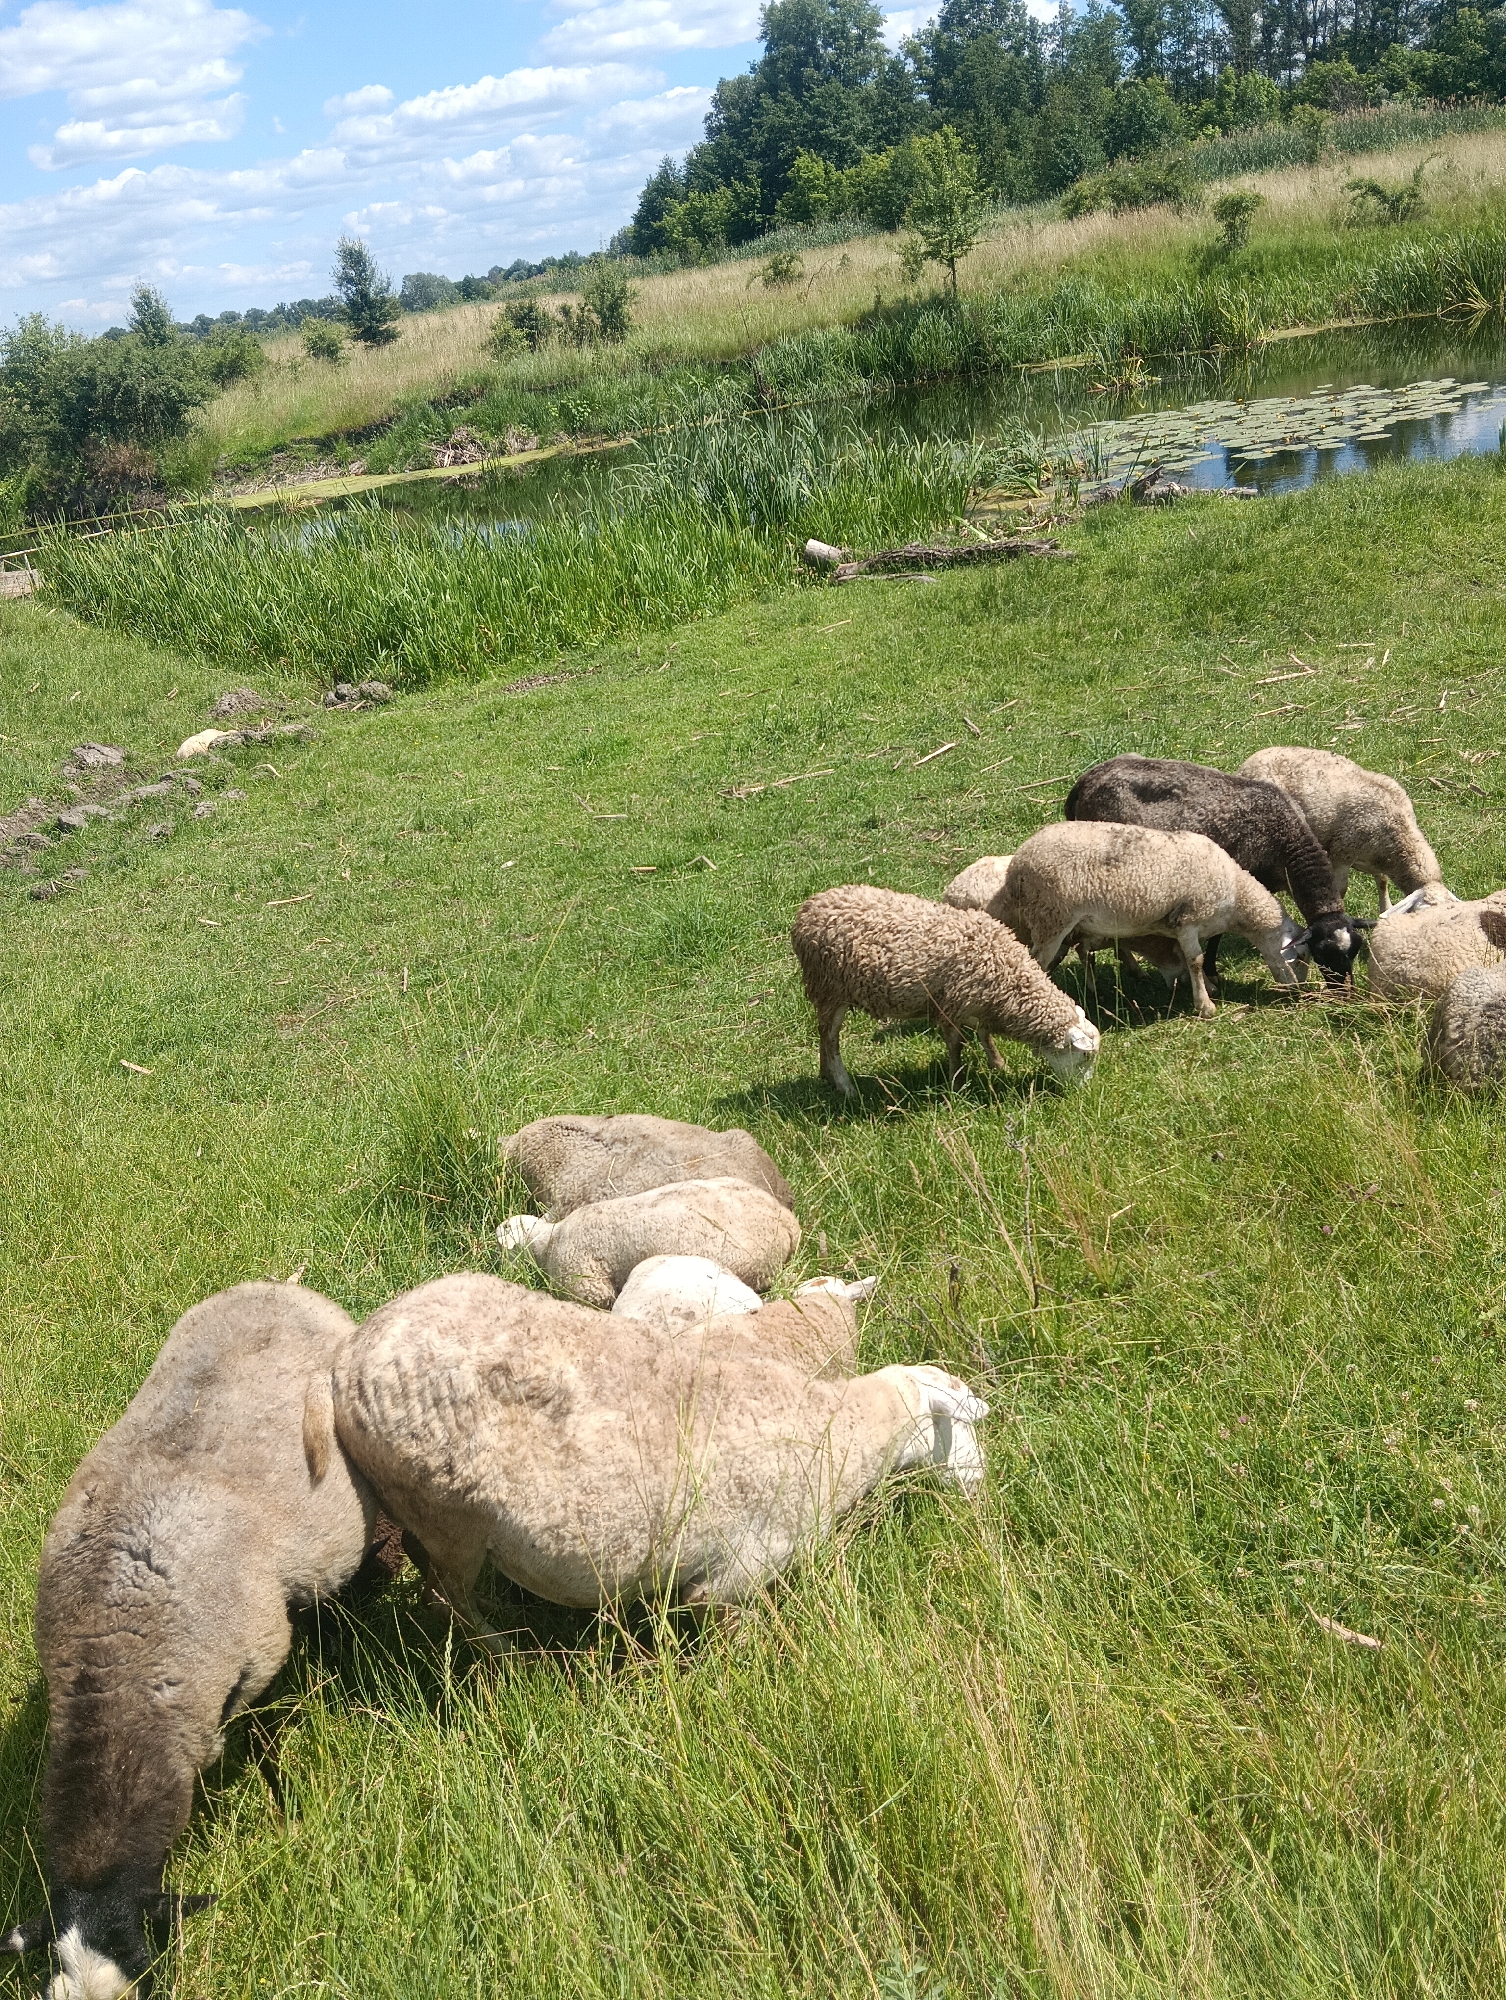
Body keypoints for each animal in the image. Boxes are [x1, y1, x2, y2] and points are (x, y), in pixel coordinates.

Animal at [331, 1274, 987, 1615]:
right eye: (964, 1424)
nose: (982, 1490)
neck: (837, 1429)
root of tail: (346, 1361)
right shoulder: (732, 1579)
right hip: (447, 1517)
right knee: (449, 1600)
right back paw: (503, 1656)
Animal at [790, 885, 1099, 1096]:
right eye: (1084, 1057)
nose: (1083, 1092)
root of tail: (808, 909)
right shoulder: (951, 1005)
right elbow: (956, 1045)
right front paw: (956, 1082)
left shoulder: (977, 1003)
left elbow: (985, 1036)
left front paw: (999, 1065)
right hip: (829, 989)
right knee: (830, 1039)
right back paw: (845, 1086)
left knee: (824, 1036)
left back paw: (826, 1077)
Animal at [998, 820, 1302, 1020]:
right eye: (1301, 956)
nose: (1299, 992)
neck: (1236, 894)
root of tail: (1017, 865)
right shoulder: (1189, 920)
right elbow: (1196, 960)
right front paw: (1205, 1006)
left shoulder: (1181, 928)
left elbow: (1186, 958)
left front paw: (1209, 988)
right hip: (1051, 917)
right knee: (1036, 961)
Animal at [1066, 754, 1368, 986]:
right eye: (1322, 953)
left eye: (1354, 952)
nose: (1343, 992)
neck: (1286, 838)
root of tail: (1083, 782)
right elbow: (1216, 936)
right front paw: (1212, 973)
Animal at [1237, 746, 1442, 912]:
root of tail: (1248, 764)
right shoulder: (1341, 854)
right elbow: (1341, 890)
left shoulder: (1375, 857)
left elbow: (1382, 881)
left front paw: (1385, 907)